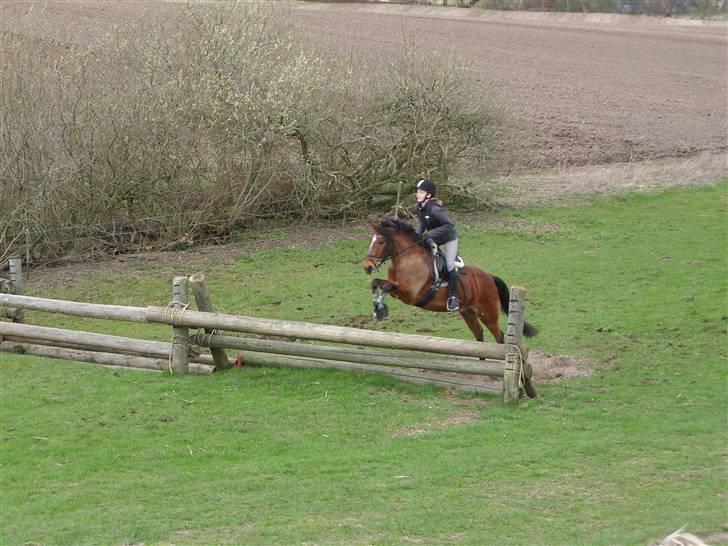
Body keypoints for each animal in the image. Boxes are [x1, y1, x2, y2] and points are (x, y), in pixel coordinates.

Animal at [362, 217, 536, 352]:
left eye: (381, 242)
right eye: (371, 241)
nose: (367, 267)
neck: (407, 259)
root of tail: (490, 278)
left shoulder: (410, 294)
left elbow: (386, 286)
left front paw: (380, 310)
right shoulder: (396, 288)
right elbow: (377, 283)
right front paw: (377, 308)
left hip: (487, 312)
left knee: (498, 335)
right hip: (467, 311)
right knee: (478, 333)